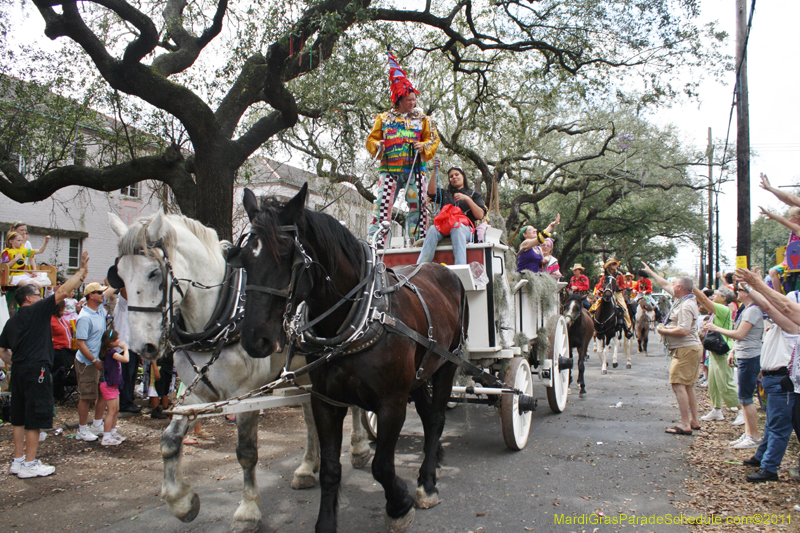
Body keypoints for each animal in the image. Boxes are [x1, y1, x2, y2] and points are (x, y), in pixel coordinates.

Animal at [109, 210, 372, 532]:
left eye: (153, 273)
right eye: (120, 275)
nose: (141, 347)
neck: (221, 313)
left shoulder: (245, 396)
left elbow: (246, 454)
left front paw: (248, 511)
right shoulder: (198, 393)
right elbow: (169, 442)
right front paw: (182, 502)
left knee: (353, 406)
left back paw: (359, 449)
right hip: (303, 372)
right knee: (311, 415)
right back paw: (308, 467)